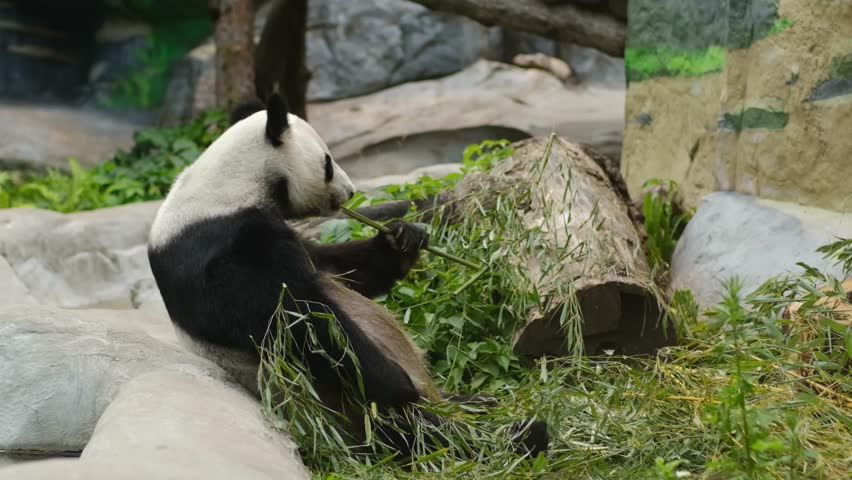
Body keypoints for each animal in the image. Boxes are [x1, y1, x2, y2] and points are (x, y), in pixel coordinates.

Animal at [147, 91, 549, 457]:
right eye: (327, 162)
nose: (351, 190)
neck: (227, 185)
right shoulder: (226, 248)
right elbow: (301, 319)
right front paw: (397, 384)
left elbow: (337, 271)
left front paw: (403, 239)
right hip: (348, 415)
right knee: (424, 435)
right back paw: (518, 436)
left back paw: (483, 403)